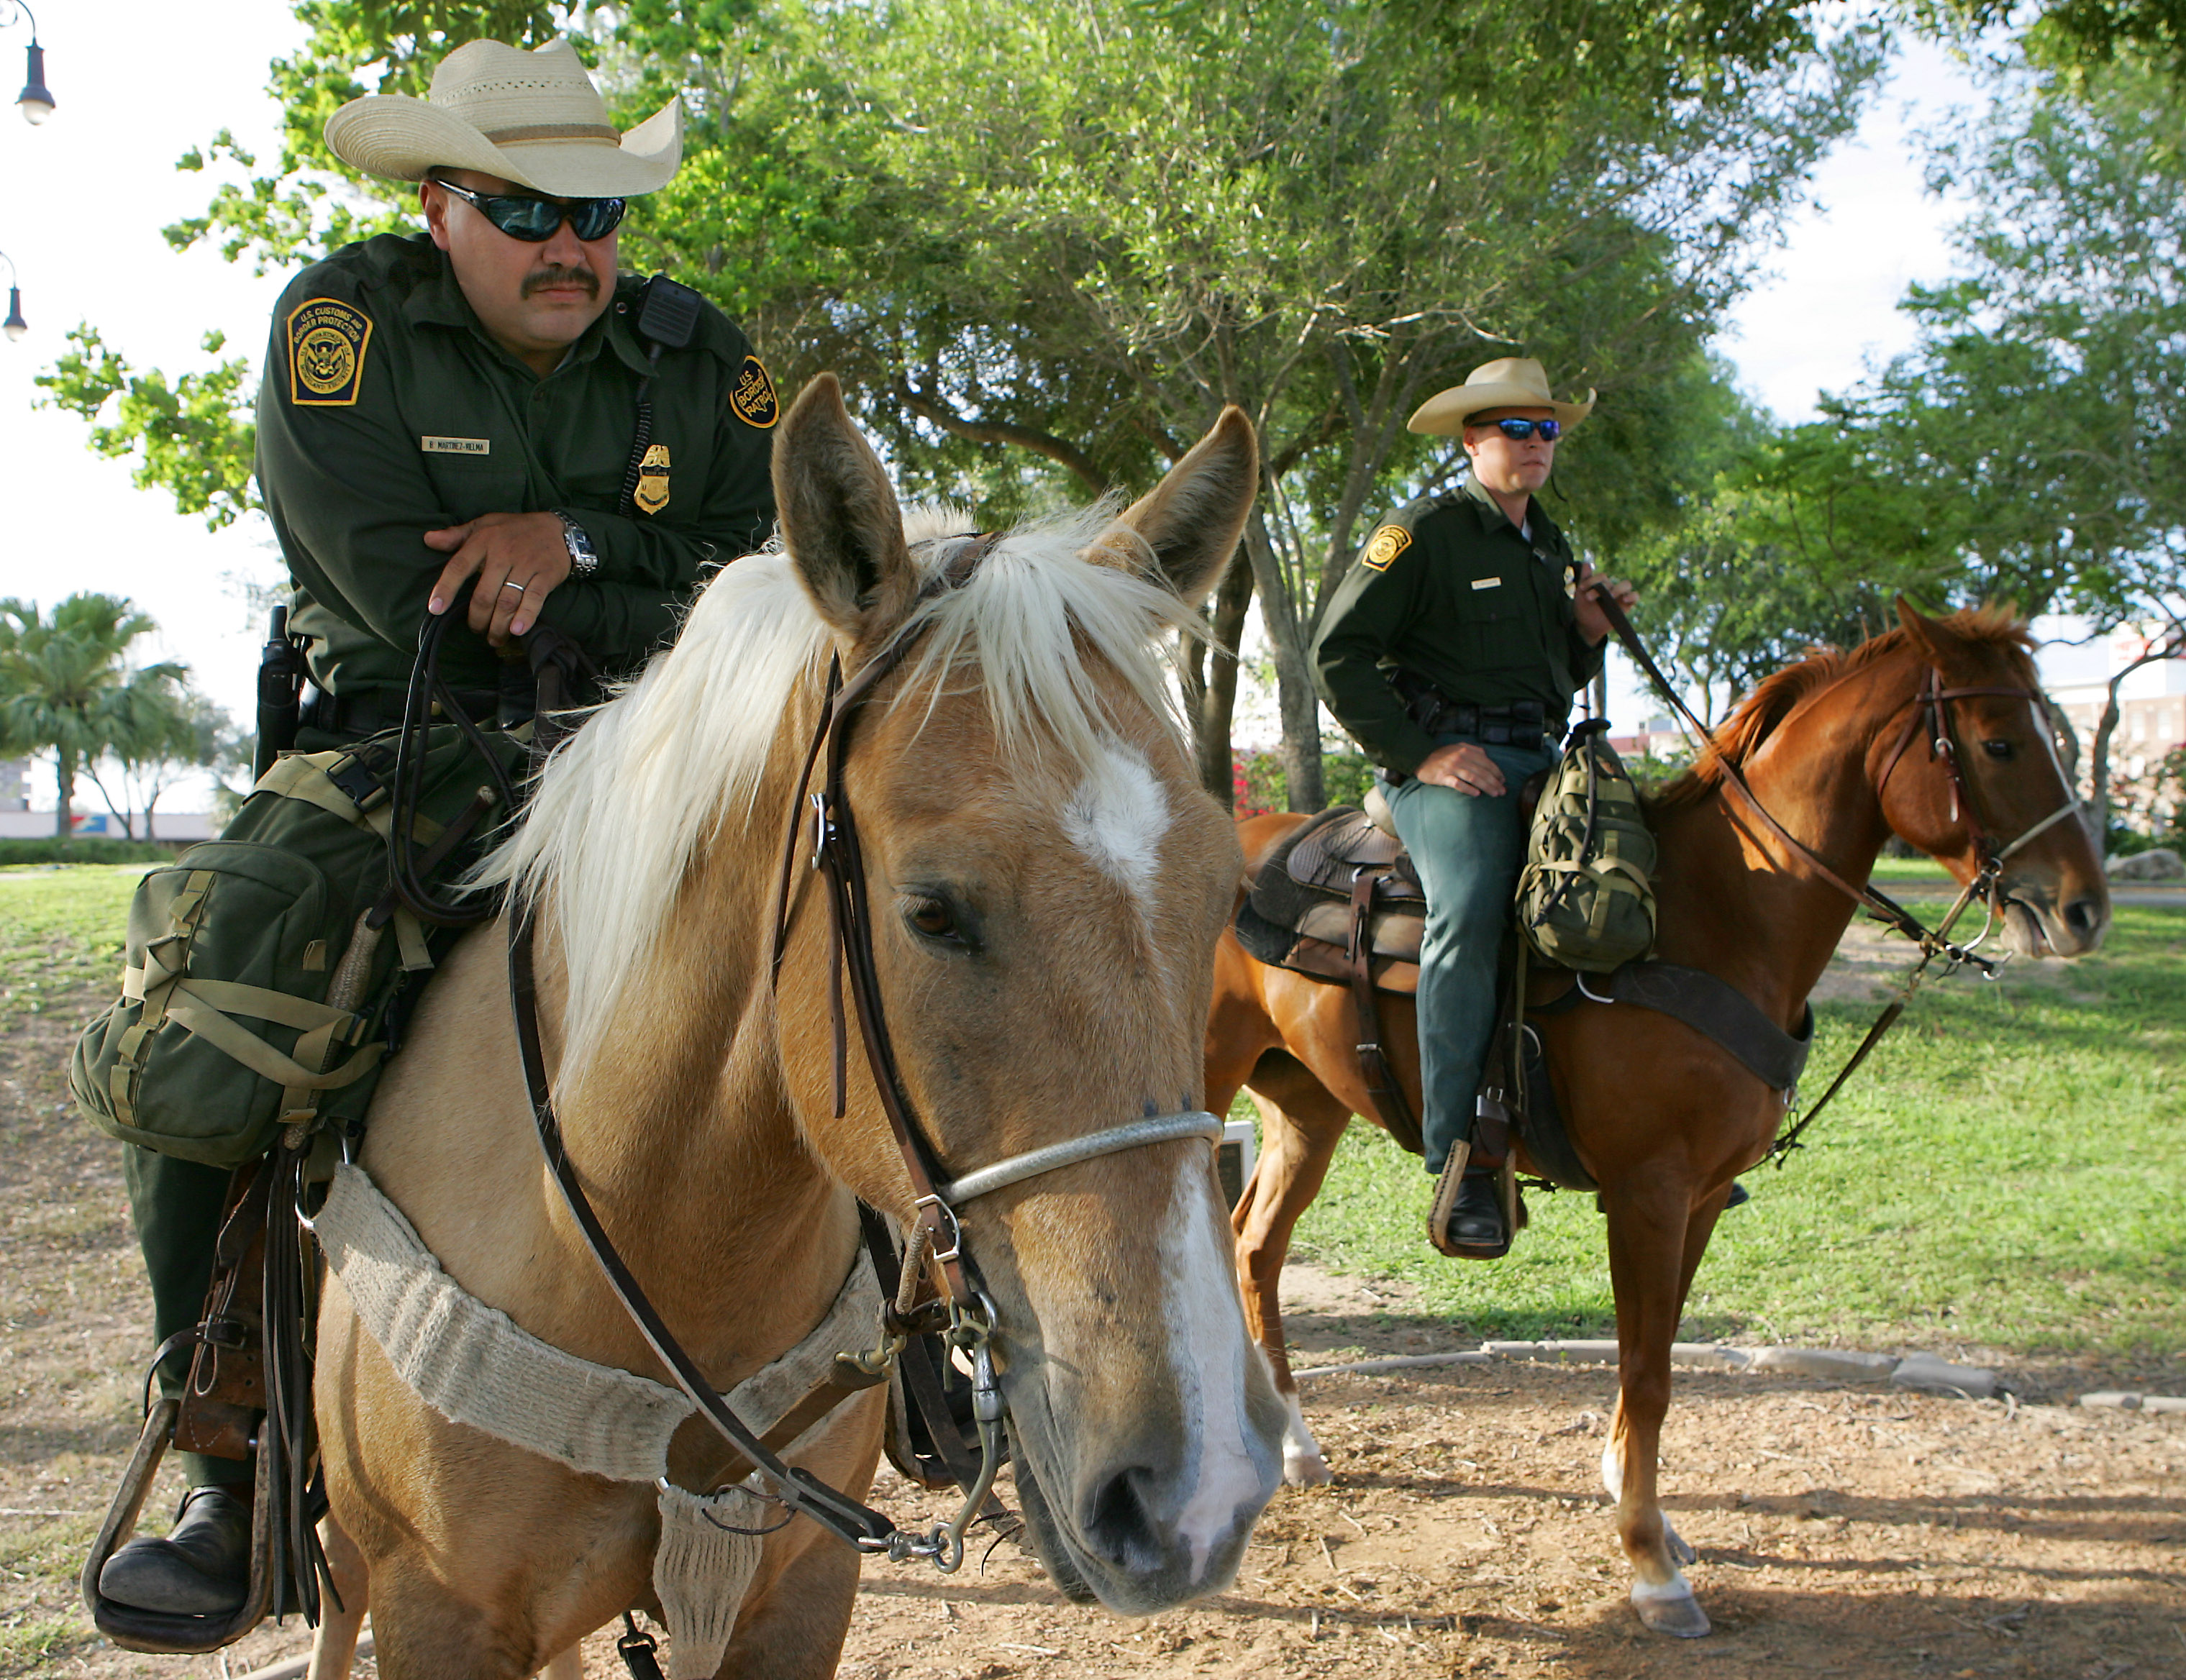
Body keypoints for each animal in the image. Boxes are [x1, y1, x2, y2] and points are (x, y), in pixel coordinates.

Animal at [1206, 607, 2107, 1643]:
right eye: (1998, 743)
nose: (2083, 909)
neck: (1716, 915)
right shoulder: (1646, 1192)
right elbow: (1645, 1369)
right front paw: (1649, 1563)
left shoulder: (1702, 1195)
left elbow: (1662, 1350)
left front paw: (1641, 1504)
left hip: (1304, 1112)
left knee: (1255, 1248)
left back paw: (1294, 1444)